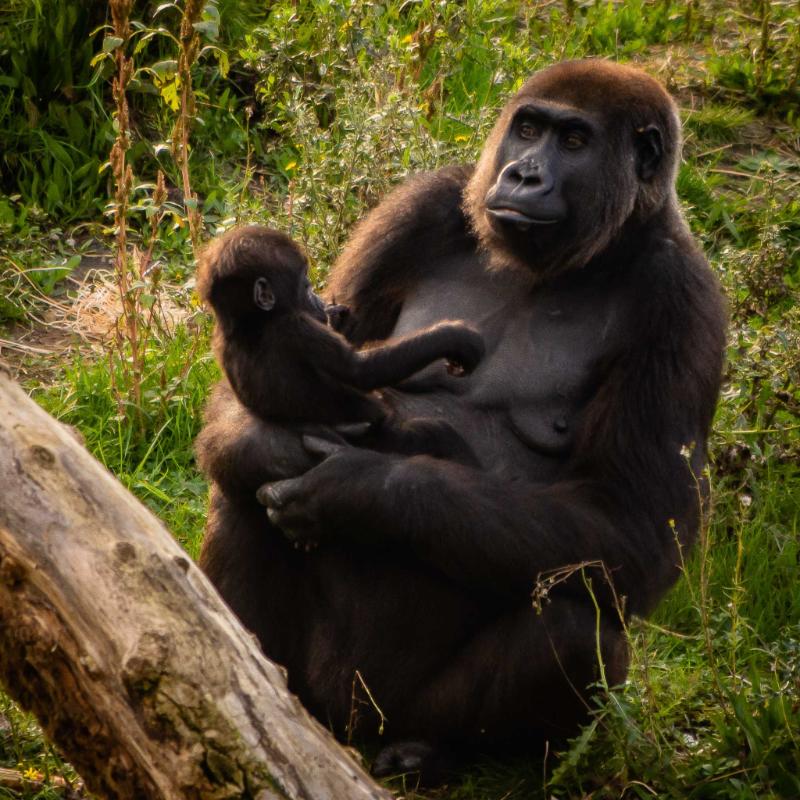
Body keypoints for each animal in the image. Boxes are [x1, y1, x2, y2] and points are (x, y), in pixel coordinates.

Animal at [197, 225, 484, 462]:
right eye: (306, 285)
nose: (318, 300)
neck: (249, 323)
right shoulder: (297, 328)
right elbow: (361, 370)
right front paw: (452, 336)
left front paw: (337, 316)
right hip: (382, 441)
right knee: (435, 435)